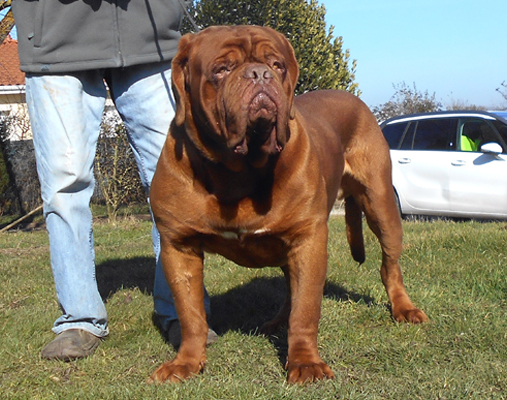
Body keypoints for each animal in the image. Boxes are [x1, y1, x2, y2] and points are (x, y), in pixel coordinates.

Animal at [149, 25, 426, 384]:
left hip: (381, 205)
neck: (238, 170)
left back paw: (403, 308)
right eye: (222, 69)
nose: (259, 74)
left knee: (388, 264)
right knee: (290, 287)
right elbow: (190, 313)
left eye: (277, 65)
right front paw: (186, 361)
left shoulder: (308, 239)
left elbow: (306, 309)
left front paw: (305, 362)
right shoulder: (178, 247)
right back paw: (278, 321)